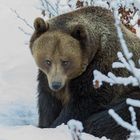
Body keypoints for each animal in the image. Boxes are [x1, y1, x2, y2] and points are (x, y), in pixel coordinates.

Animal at [29, 6, 140, 139]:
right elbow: (48, 102)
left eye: (65, 61)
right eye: (47, 61)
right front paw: (44, 126)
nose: (56, 84)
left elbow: (81, 105)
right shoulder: (46, 78)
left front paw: (58, 125)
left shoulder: (102, 72)